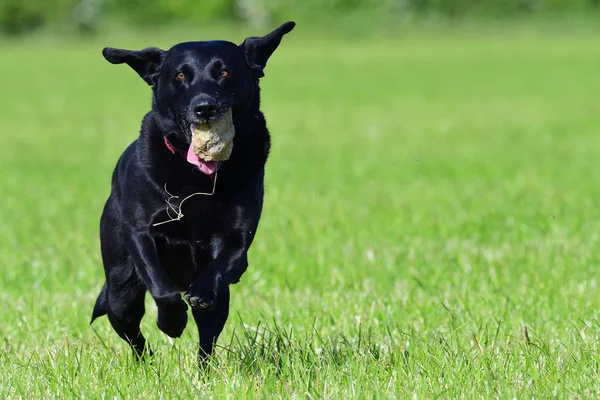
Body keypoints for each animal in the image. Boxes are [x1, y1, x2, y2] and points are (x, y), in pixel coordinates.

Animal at [89, 22, 296, 366]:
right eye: (180, 75)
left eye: (225, 72)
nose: (204, 107)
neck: (196, 179)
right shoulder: (141, 234)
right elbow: (162, 288)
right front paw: (172, 322)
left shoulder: (236, 243)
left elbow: (218, 269)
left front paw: (198, 295)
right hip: (121, 290)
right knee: (133, 334)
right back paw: (148, 366)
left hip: (217, 306)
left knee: (207, 340)